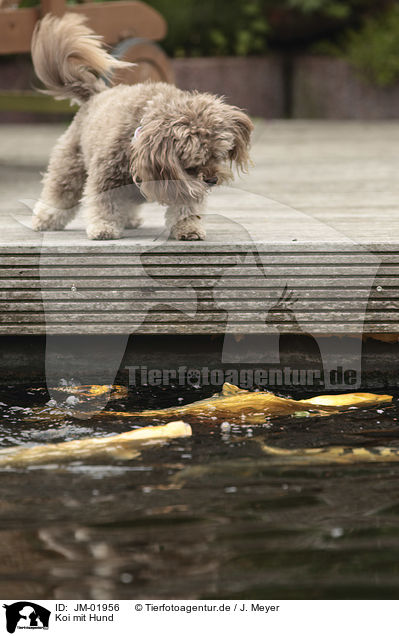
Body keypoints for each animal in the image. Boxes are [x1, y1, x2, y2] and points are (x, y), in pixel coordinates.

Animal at [32, 14, 255, 240]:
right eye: (193, 163)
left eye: (218, 156)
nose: (212, 179)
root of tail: (96, 93)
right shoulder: (108, 177)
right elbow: (105, 205)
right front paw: (104, 228)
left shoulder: (181, 182)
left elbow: (186, 206)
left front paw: (189, 228)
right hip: (71, 164)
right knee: (60, 192)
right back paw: (45, 219)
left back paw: (130, 219)